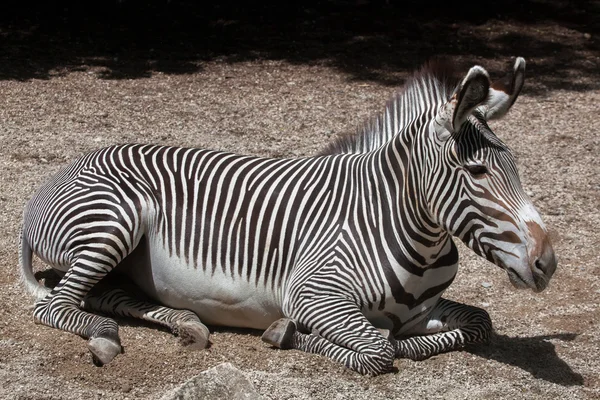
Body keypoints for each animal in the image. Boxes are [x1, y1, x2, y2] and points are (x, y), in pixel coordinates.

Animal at [19, 56, 556, 376]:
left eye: (516, 166)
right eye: (478, 171)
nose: (547, 264)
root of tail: (65, 169)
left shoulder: (422, 311)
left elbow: (478, 322)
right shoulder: (313, 294)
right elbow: (378, 350)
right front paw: (289, 333)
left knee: (100, 294)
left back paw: (185, 323)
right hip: (114, 222)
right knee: (57, 305)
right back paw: (105, 339)